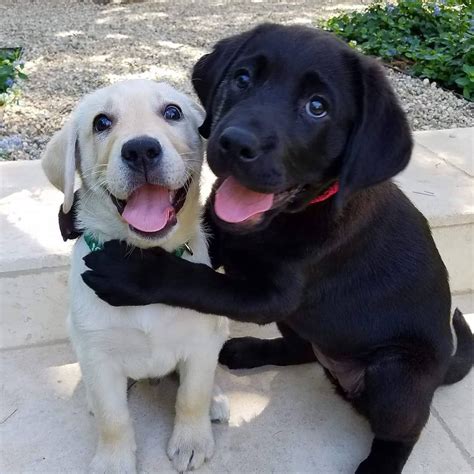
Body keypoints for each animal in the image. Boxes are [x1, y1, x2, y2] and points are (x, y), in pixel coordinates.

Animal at [41, 79, 231, 472]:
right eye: (101, 122)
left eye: (172, 112)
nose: (141, 149)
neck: (143, 263)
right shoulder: (97, 353)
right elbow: (113, 418)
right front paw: (114, 461)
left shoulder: (201, 342)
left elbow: (192, 395)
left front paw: (192, 440)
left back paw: (216, 399)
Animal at [82, 24, 474, 472]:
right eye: (243, 79)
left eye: (317, 107)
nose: (235, 144)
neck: (279, 221)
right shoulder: (223, 241)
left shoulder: (272, 296)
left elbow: (199, 282)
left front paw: (131, 272)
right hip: (305, 327)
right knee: (303, 348)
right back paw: (247, 350)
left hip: (397, 375)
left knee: (405, 430)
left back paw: (378, 464)